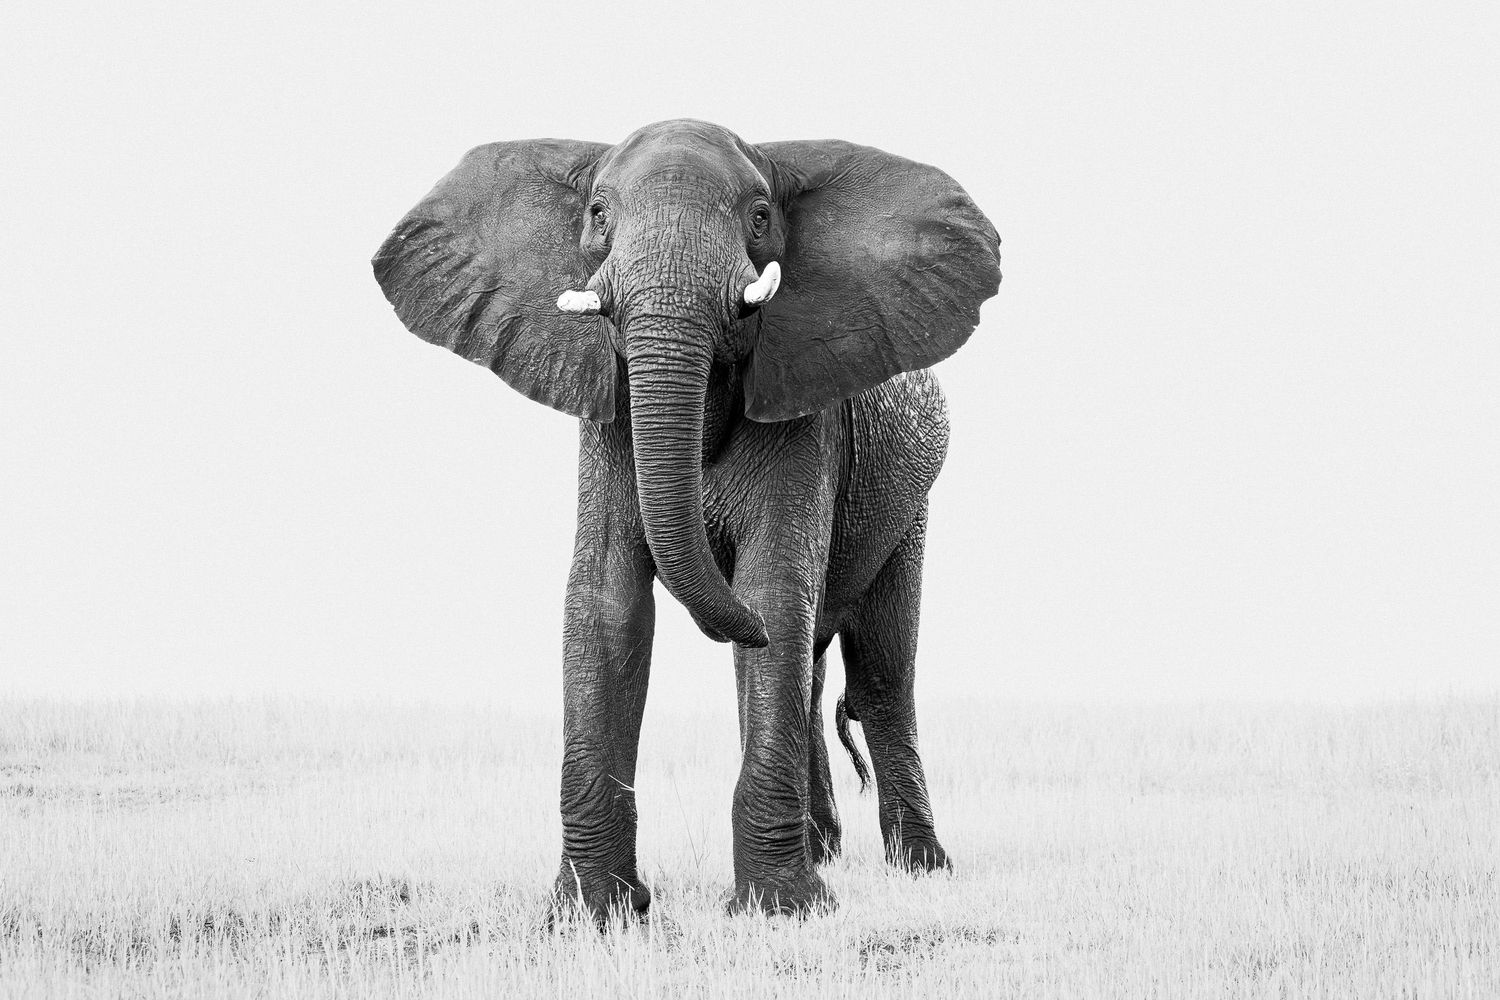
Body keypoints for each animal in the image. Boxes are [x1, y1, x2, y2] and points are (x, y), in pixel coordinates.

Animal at [372, 119, 1001, 918]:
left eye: (760, 216)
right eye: (598, 213)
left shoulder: (805, 412)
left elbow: (773, 592)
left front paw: (781, 911)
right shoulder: (609, 410)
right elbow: (608, 604)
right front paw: (594, 914)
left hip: (910, 500)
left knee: (879, 670)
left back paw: (920, 869)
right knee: (809, 675)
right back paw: (825, 851)